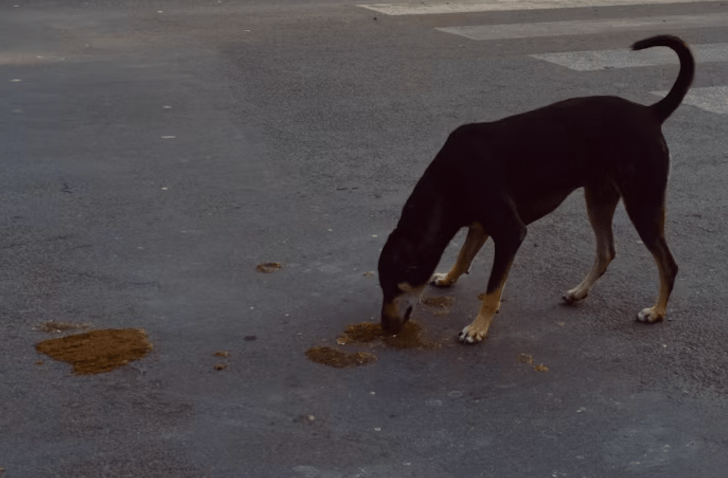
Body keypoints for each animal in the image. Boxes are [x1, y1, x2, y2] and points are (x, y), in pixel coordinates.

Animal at [382, 35, 692, 346]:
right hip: (599, 198)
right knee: (606, 252)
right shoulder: (482, 226)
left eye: (394, 287)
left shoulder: (510, 232)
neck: (450, 178)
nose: (385, 327)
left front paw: (478, 327)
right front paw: (449, 277)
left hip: (643, 202)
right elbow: (465, 255)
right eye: (384, 287)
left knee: (668, 264)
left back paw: (657, 312)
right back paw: (579, 292)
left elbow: (492, 289)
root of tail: (650, 112)